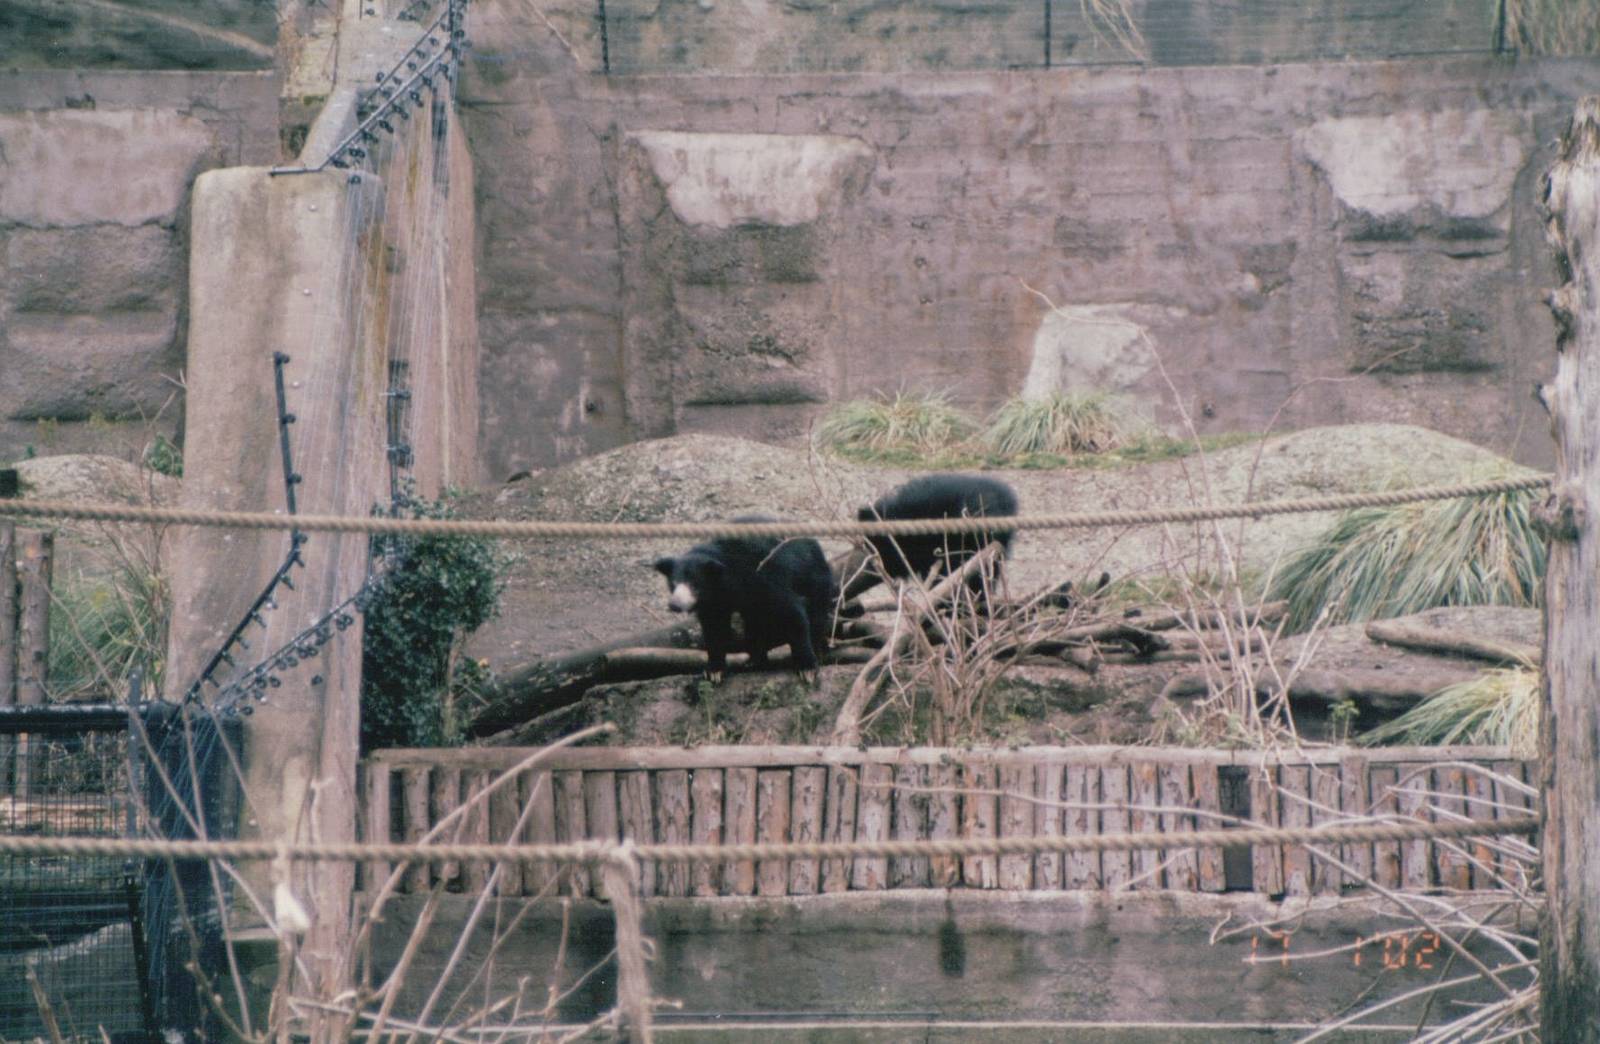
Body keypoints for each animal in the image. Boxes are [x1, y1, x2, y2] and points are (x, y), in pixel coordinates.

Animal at [653, 516, 836, 682]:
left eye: (694, 585)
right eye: (673, 584)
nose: (674, 604)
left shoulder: (764, 576)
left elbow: (791, 612)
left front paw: (807, 669)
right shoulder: (714, 602)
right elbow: (714, 628)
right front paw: (714, 671)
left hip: (814, 578)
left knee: (816, 614)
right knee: (755, 622)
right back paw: (754, 660)